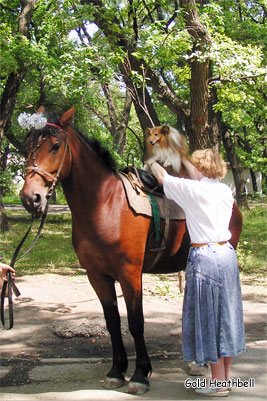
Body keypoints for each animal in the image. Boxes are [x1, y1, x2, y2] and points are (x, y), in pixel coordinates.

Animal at [19, 106, 244, 394]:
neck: (104, 204)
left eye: (56, 146)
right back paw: (197, 363)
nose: (30, 198)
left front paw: (140, 375)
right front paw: (117, 370)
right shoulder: (97, 276)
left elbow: (136, 323)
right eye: (27, 145)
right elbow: (113, 322)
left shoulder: (130, 274)